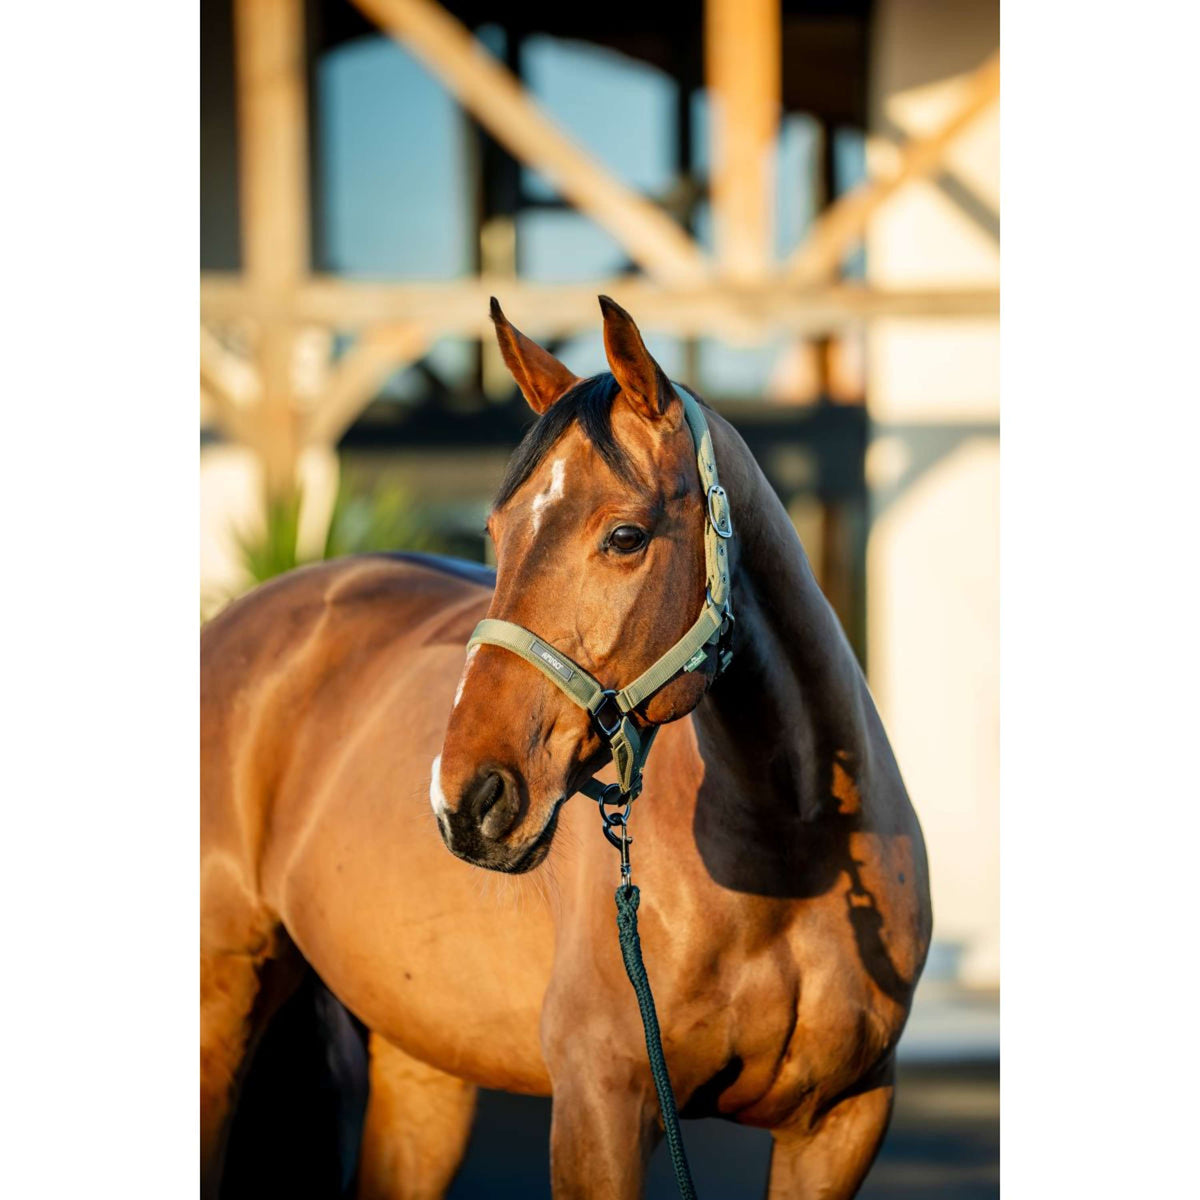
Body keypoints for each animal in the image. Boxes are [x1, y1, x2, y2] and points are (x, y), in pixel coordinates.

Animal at [204, 295, 936, 1195]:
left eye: (625, 537)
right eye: (496, 530)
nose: (465, 799)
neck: (792, 854)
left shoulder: (840, 1125)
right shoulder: (600, 1106)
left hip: (424, 1061)